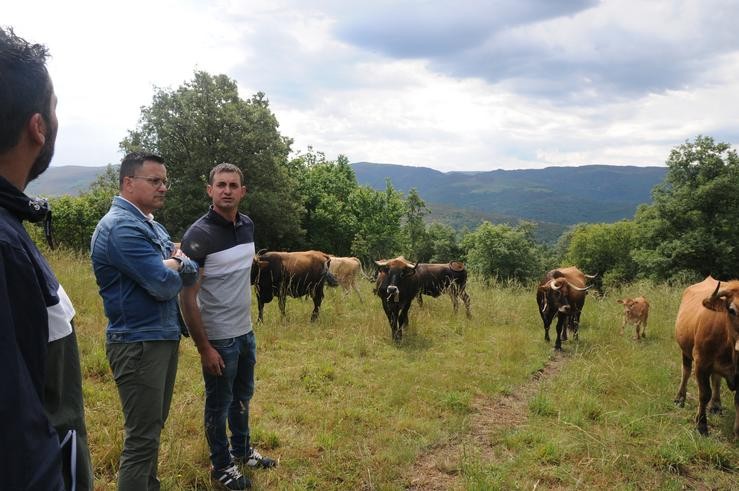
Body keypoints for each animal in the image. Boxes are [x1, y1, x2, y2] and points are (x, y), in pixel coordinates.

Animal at [676, 276, 739, 438]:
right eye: (732, 310)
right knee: (685, 372)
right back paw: (680, 398)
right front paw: (701, 425)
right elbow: (704, 394)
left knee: (716, 378)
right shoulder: (701, 363)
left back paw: (716, 405)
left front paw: (737, 432)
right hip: (685, 351)